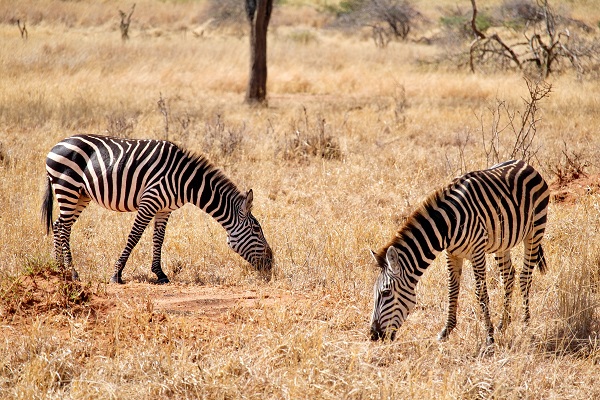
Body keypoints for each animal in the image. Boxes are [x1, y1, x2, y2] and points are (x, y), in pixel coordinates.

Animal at [42, 134, 274, 284]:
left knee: (60, 225)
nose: (271, 263)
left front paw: (160, 274)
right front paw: (117, 274)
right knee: (63, 227)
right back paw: (72, 272)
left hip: (81, 194)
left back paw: (59, 268)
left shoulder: (164, 209)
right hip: (68, 187)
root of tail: (56, 145)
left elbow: (158, 239)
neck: (186, 181)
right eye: (256, 230)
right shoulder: (149, 201)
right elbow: (134, 236)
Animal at [370, 160, 548, 346]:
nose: (373, 335)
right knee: (508, 276)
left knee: (525, 276)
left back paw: (526, 324)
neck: (446, 225)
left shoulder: (477, 252)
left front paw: (489, 337)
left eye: (386, 293)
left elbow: (481, 293)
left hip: (535, 230)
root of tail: (524, 163)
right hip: (502, 242)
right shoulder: (451, 253)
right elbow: (452, 289)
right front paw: (446, 331)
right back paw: (503, 323)